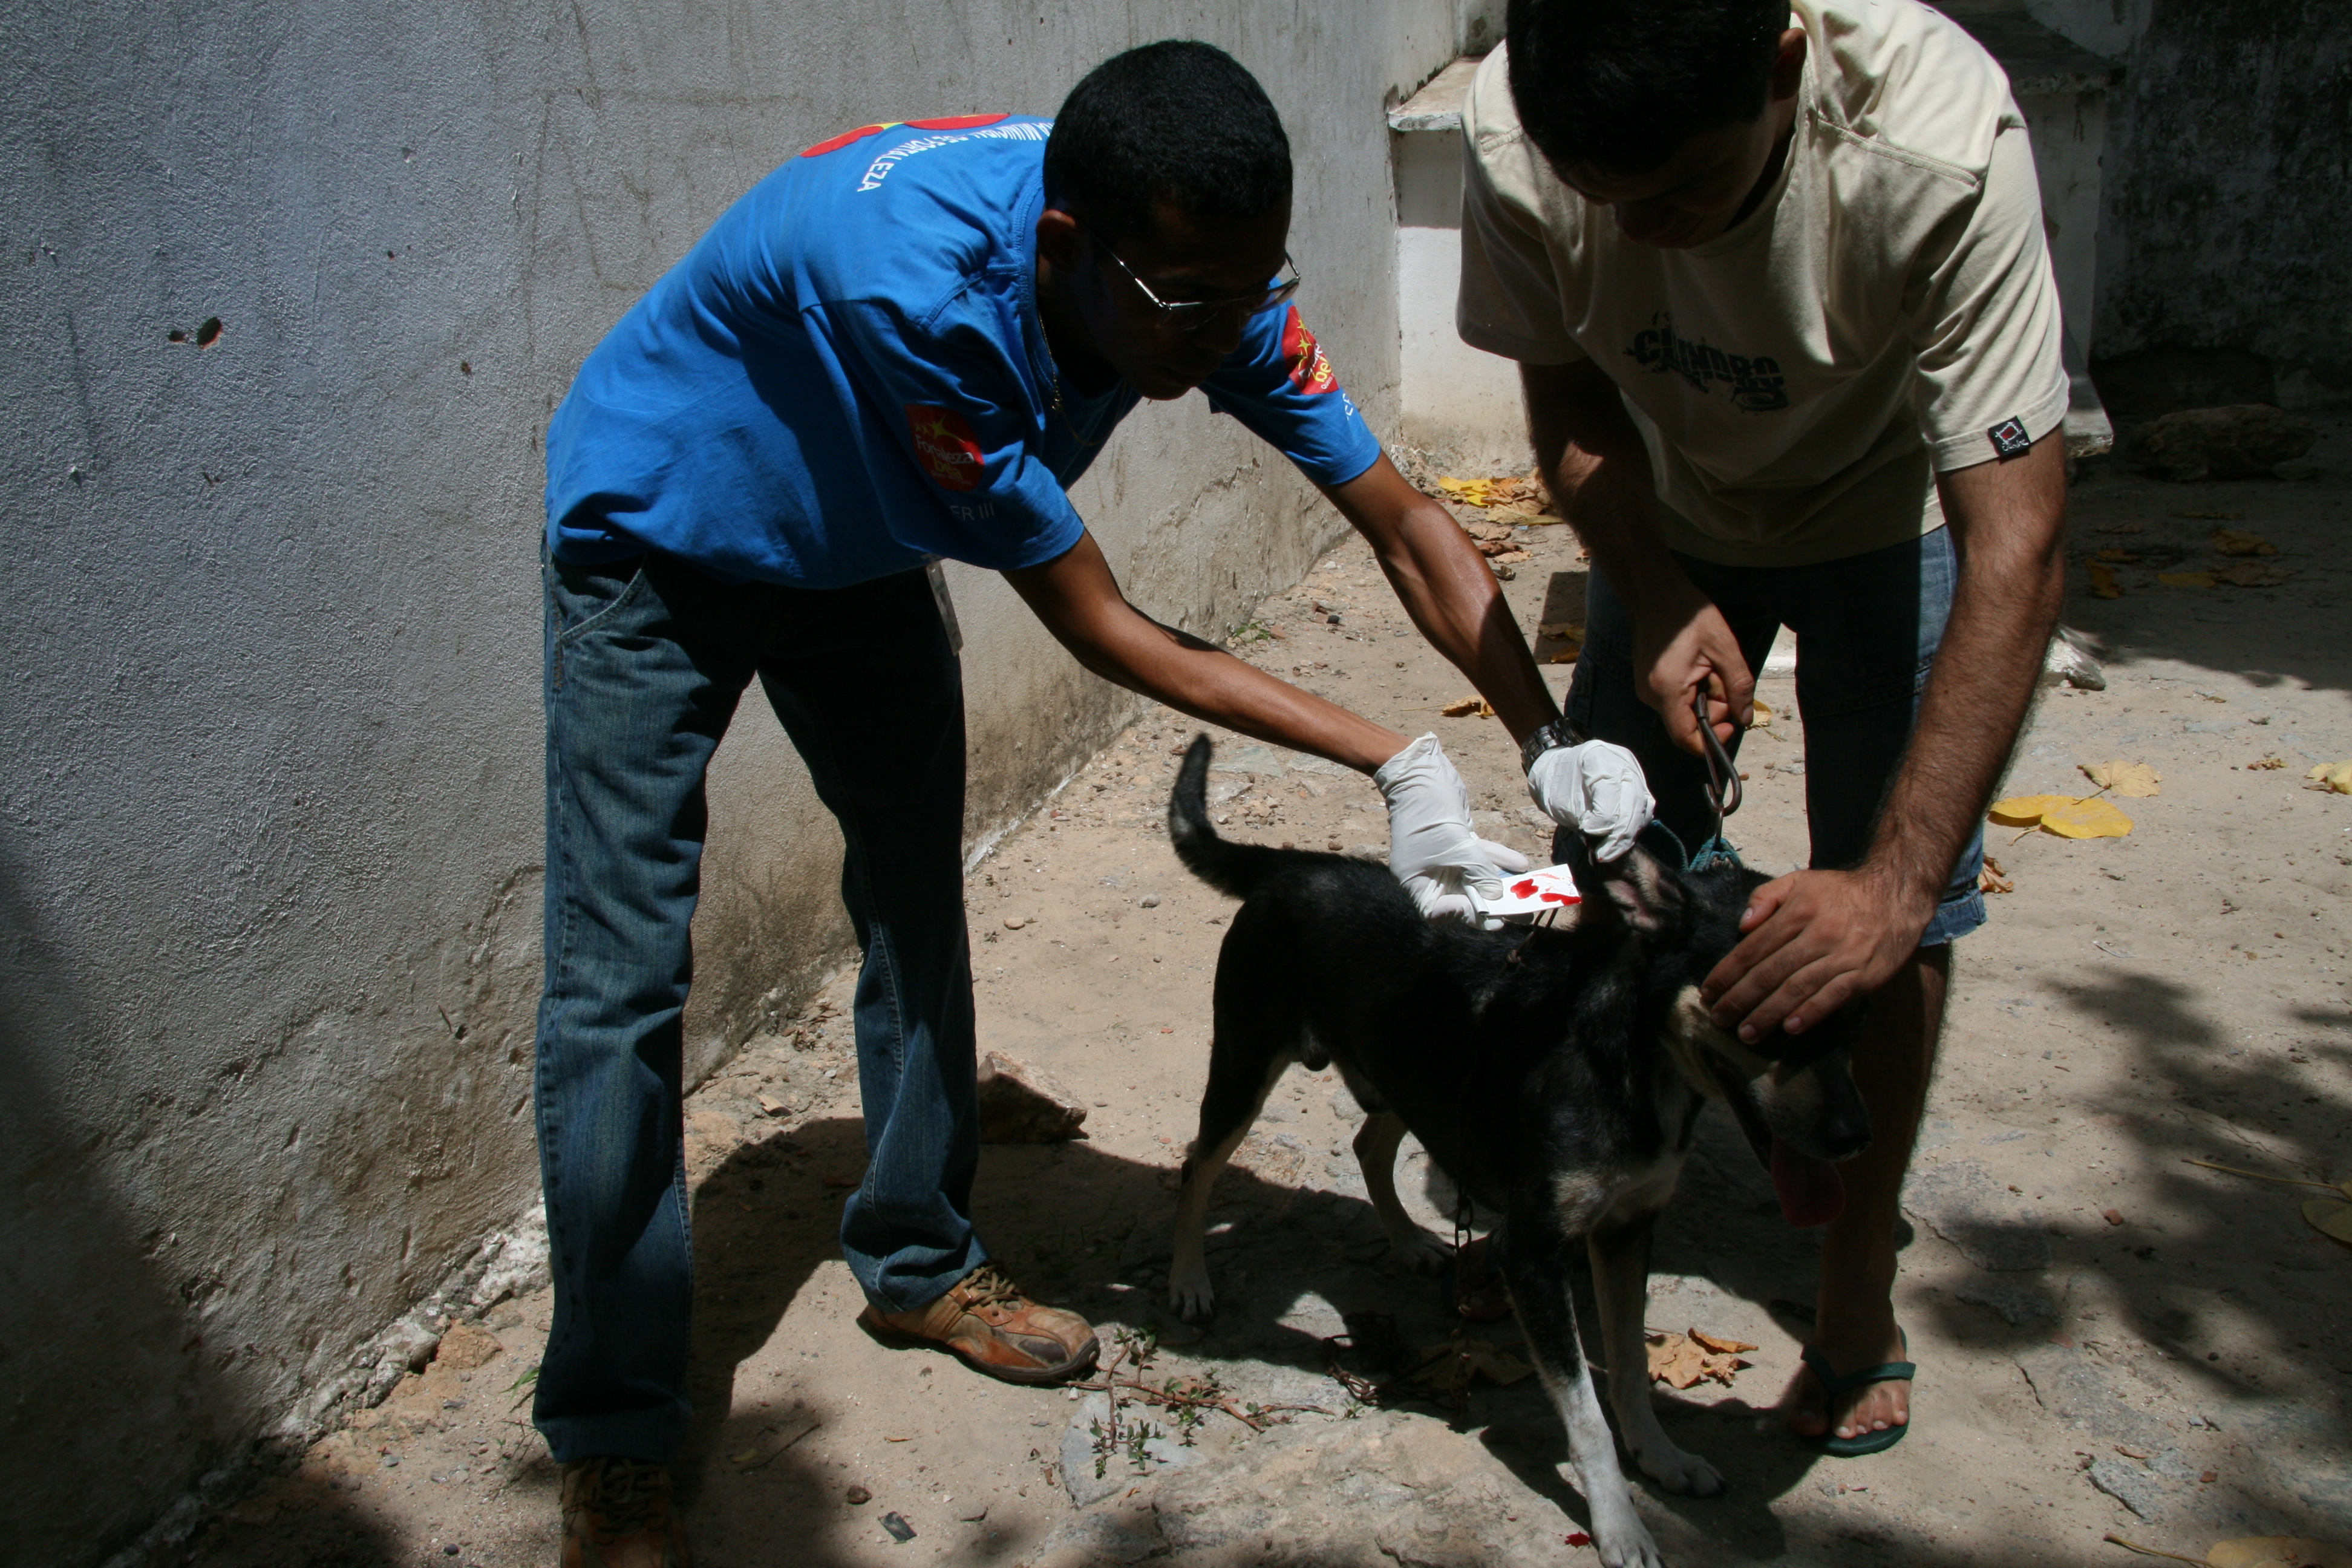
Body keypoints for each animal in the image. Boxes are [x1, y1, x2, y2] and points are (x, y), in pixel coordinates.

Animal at [1161, 738, 1872, 1568]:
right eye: (1758, 1016)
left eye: (1852, 1012)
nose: (1855, 1139)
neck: (1625, 1061)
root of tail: (1294, 866)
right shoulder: (1534, 1252)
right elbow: (1587, 1415)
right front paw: (1619, 1523)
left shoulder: (1628, 1229)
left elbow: (1630, 1368)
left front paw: (1661, 1458)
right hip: (1245, 1067)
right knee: (1199, 1165)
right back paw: (1189, 1281)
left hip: (1415, 1080)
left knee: (1368, 1143)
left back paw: (1410, 1243)